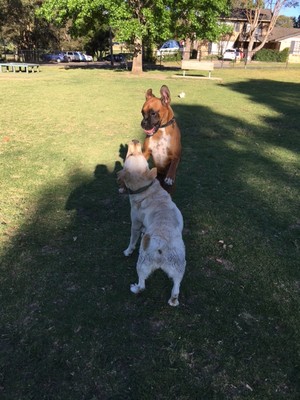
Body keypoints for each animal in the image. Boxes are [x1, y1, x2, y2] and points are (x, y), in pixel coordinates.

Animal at [117, 141, 185, 306]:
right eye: (139, 154)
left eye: (131, 155)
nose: (135, 141)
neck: (146, 188)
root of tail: (162, 247)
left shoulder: (135, 224)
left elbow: (132, 240)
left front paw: (127, 251)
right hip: (179, 267)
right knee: (176, 287)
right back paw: (173, 300)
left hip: (142, 263)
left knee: (142, 284)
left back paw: (135, 288)